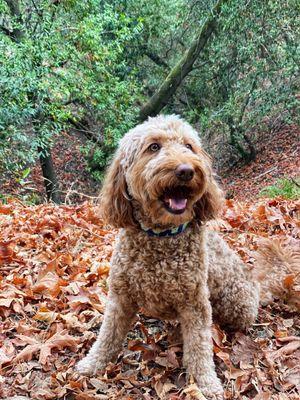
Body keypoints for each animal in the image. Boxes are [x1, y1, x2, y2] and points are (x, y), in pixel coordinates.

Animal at [77, 114, 262, 398]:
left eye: (189, 146)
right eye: (153, 147)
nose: (186, 170)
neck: (161, 237)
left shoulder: (196, 304)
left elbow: (199, 346)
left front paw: (206, 383)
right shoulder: (120, 296)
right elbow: (108, 334)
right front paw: (93, 362)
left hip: (237, 303)